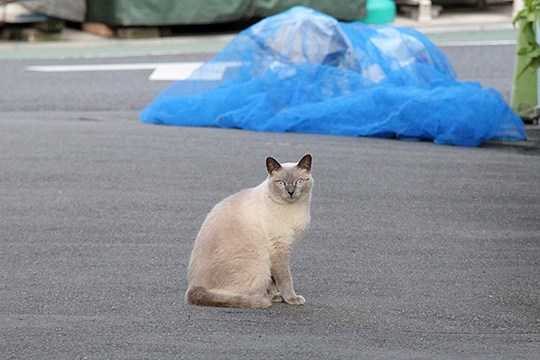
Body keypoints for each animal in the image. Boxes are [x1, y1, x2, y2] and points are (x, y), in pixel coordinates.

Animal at [186, 153, 314, 308]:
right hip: (258, 265)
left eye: (299, 181)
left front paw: (275, 297)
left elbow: (272, 281)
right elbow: (285, 278)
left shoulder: (276, 251)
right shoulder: (278, 248)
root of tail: (193, 286)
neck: (295, 208)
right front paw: (292, 299)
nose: (290, 192)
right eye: (281, 183)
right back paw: (259, 300)